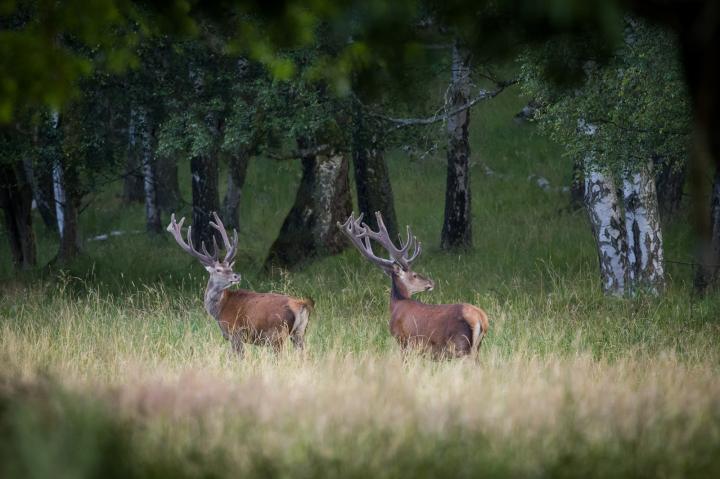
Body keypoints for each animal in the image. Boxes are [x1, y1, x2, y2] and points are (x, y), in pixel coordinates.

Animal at [169, 212, 316, 354]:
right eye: (218, 269)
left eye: (230, 268)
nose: (236, 275)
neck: (219, 310)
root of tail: (302, 305)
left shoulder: (235, 332)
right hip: (299, 333)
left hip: (278, 333)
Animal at [338, 212, 490, 358]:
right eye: (415, 275)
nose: (431, 282)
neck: (397, 304)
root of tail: (481, 318)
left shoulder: (403, 340)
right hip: (476, 348)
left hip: (460, 345)